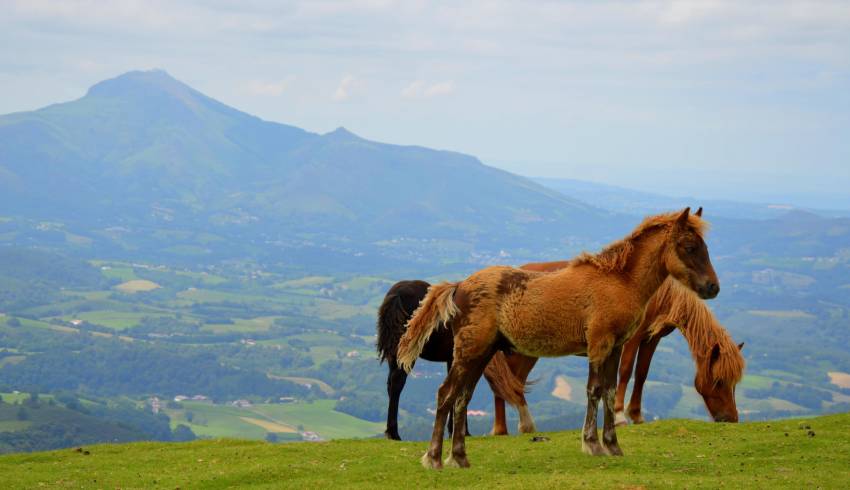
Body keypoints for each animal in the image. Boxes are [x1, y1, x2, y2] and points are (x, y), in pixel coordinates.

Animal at [376, 280, 524, 440]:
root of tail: (397, 294)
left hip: (394, 354)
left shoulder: (451, 360)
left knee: (390, 384)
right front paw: (461, 430)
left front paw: (453, 429)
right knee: (397, 382)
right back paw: (394, 432)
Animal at [398, 209, 716, 468]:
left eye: (706, 246)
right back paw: (434, 458)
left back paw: (460, 458)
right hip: (468, 353)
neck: (618, 281)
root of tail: (459, 285)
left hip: (481, 355)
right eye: (689, 246)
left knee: (462, 397)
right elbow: (594, 390)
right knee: (446, 394)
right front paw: (592, 444)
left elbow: (610, 391)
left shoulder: (616, 348)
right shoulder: (599, 345)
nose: (713, 287)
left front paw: (613, 445)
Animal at [486, 276, 744, 436]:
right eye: (719, 381)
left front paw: (636, 415)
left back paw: (516, 427)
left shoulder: (650, 338)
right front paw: (620, 416)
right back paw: (504, 429)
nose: (732, 418)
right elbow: (626, 370)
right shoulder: (631, 338)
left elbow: (642, 373)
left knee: (511, 382)